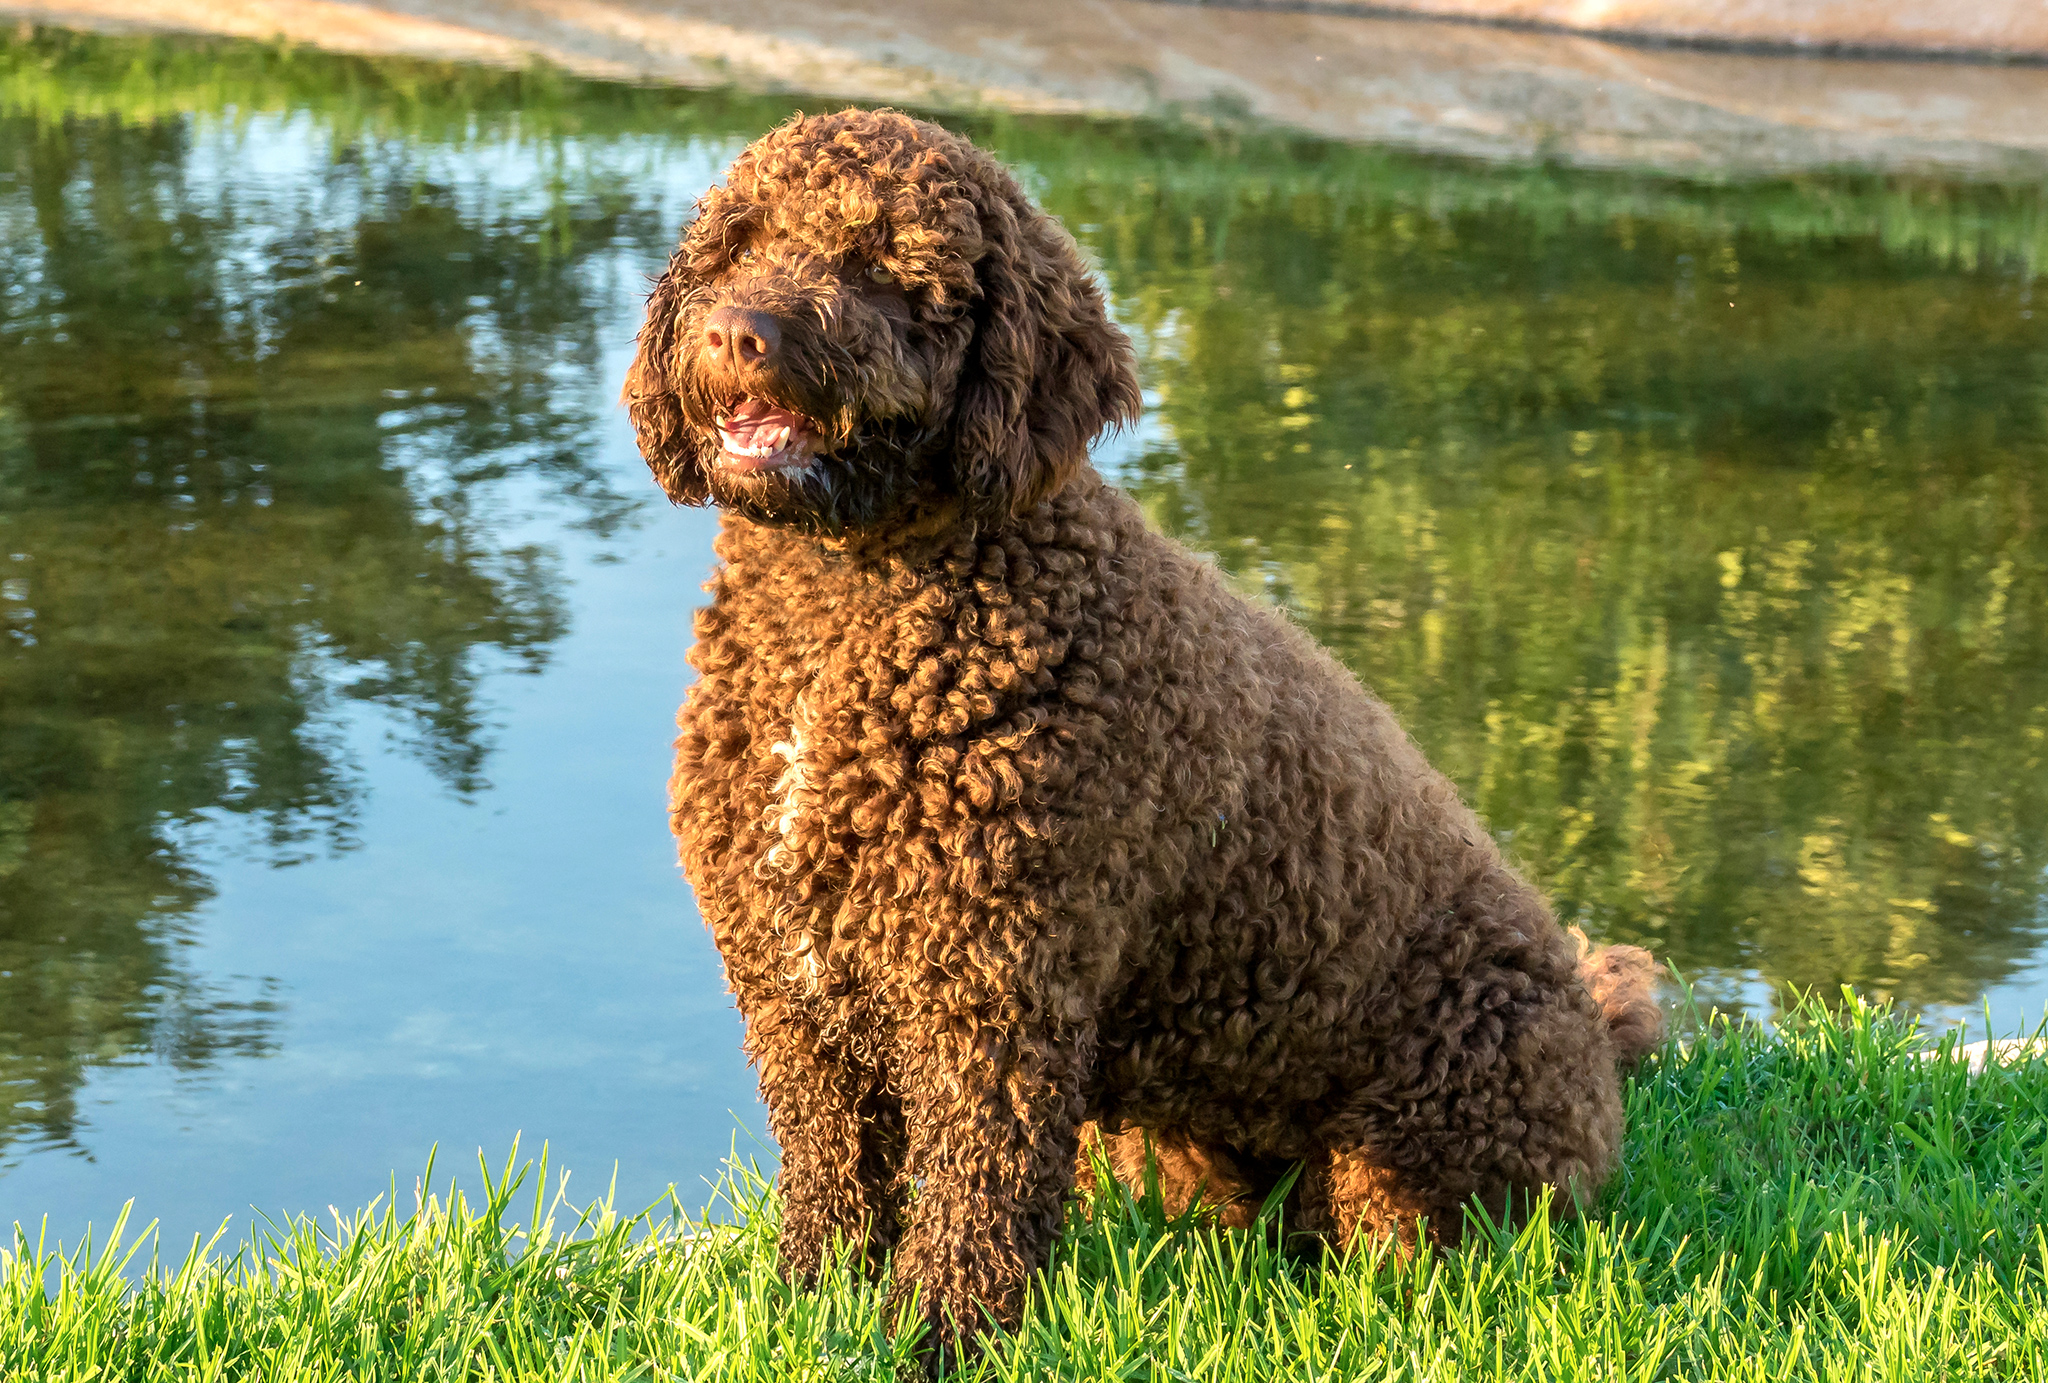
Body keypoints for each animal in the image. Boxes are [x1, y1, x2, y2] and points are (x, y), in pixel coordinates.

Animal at [626, 108, 1662, 1360]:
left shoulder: (992, 993)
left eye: (883, 266)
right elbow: (832, 1174)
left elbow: (974, 1194)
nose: (740, 334)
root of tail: (1596, 1042)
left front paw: (941, 1336)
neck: (843, 615)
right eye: (737, 243)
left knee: (1402, 1258)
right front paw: (808, 1307)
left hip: (1428, 1131)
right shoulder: (791, 988)